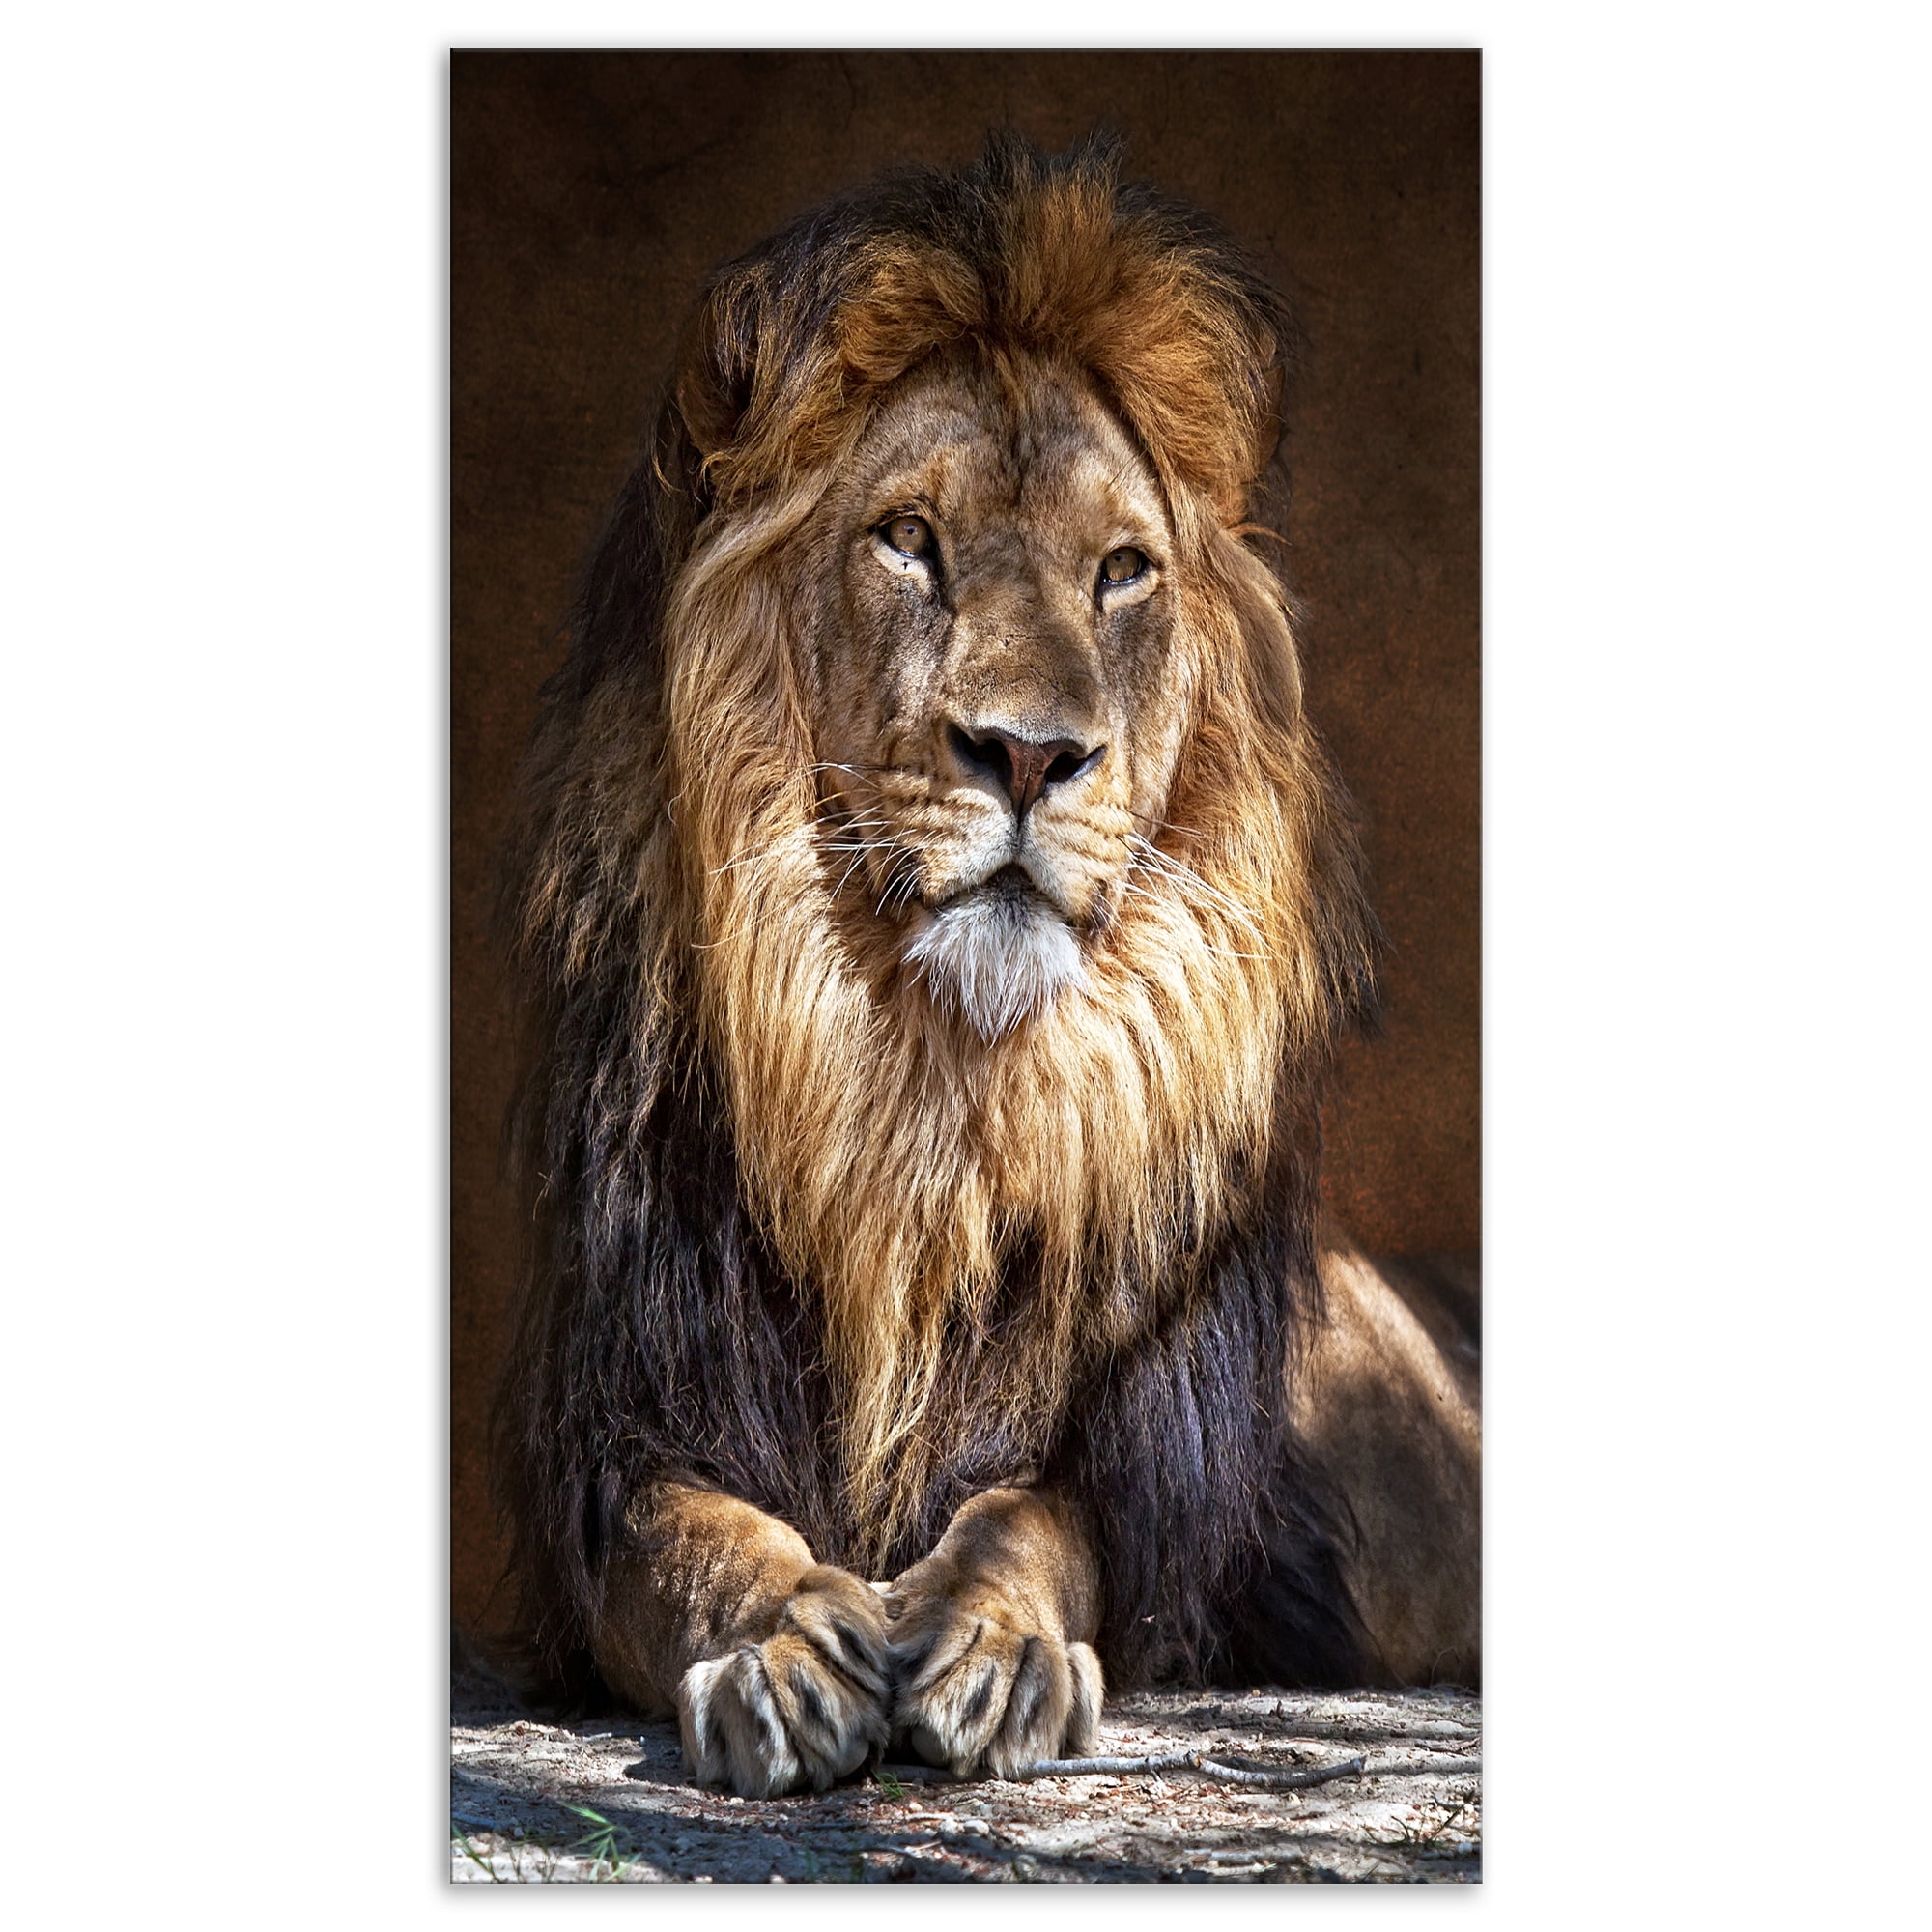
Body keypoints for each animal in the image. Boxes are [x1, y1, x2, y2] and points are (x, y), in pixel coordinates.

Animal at [491, 134, 1479, 1800]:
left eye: (1123, 572)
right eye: (908, 538)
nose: (1030, 753)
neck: (926, 1101)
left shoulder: (1136, 1477)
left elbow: (1032, 1523)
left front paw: (995, 1647)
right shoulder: (625, 1435)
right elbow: (695, 1543)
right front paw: (785, 1649)